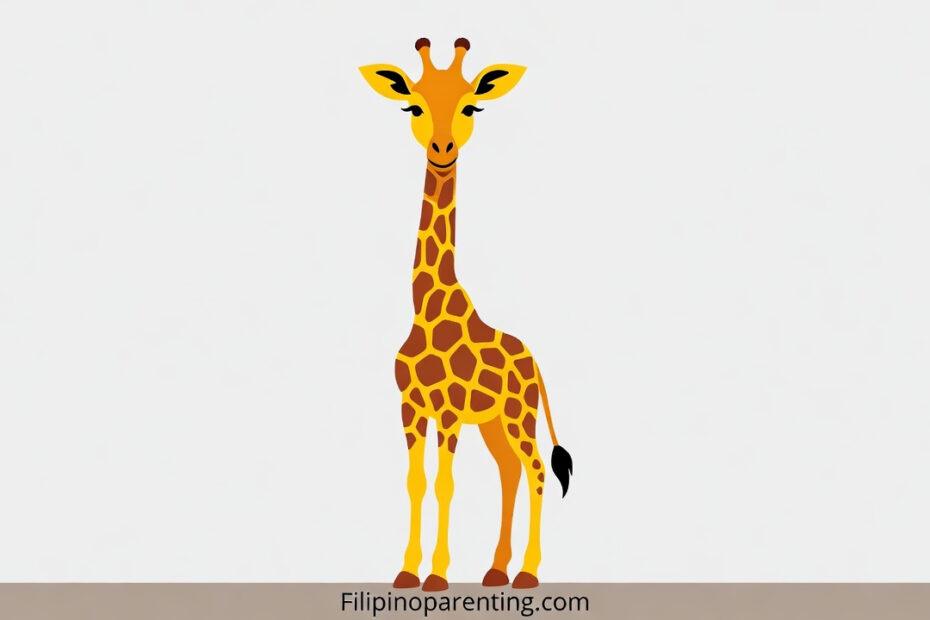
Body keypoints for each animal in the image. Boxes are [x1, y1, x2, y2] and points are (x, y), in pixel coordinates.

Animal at [360, 38, 573, 592]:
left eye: (471, 106)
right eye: (413, 107)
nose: (442, 149)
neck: (423, 307)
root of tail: (535, 363)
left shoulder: (449, 411)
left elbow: (445, 483)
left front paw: (436, 576)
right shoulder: (411, 407)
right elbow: (416, 481)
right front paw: (406, 571)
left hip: (518, 415)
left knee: (536, 470)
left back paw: (527, 573)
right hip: (495, 423)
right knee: (509, 472)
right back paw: (496, 570)